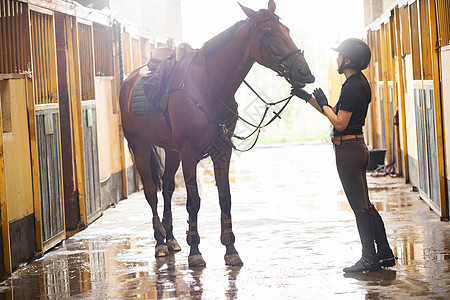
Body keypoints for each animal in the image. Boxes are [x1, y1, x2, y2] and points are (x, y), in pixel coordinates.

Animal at [119, 0, 316, 268]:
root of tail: (128, 82)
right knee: (152, 193)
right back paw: (160, 243)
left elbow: (225, 198)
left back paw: (171, 240)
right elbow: (193, 202)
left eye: (286, 30)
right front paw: (195, 251)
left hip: (171, 151)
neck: (208, 86)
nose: (305, 73)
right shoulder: (189, 154)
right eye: (268, 33)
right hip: (140, 146)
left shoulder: (222, 151)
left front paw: (231, 249)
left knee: (167, 188)